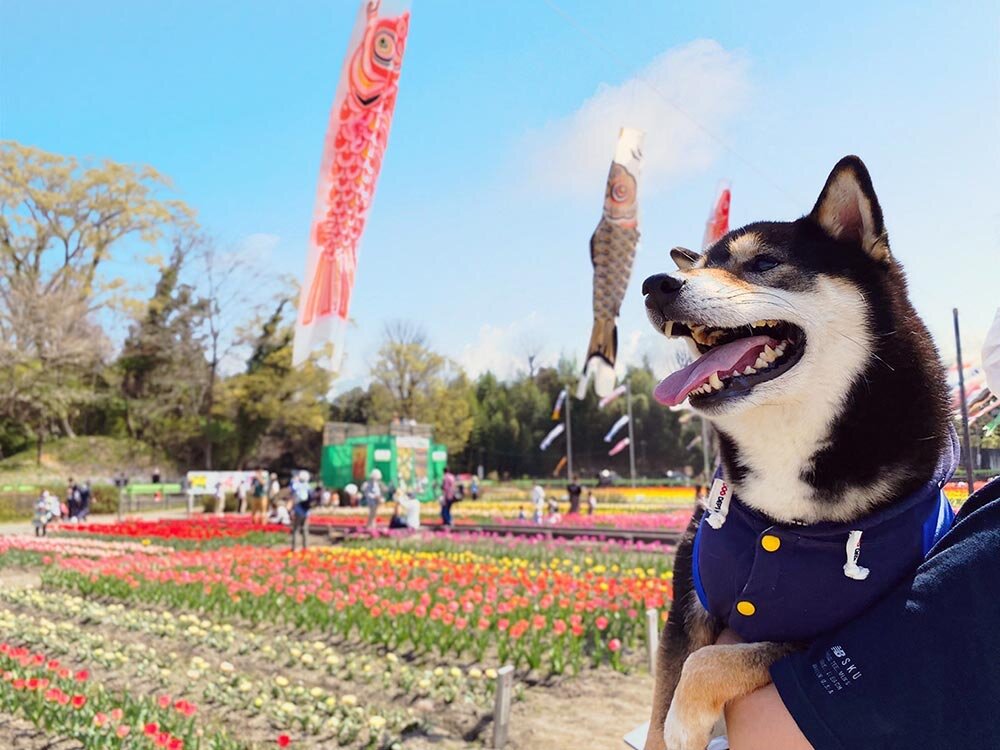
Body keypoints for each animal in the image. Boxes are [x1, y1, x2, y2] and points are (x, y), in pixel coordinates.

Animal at [640, 156, 952, 748]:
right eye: (701, 265)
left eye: (763, 263)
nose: (655, 284)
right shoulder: (688, 599)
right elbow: (663, 699)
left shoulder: (825, 633)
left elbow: (710, 663)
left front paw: (685, 721)